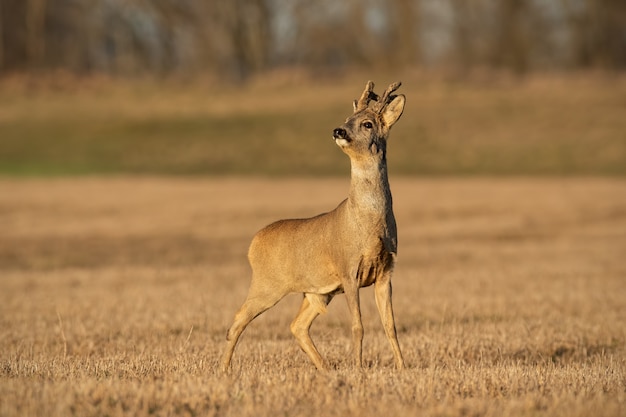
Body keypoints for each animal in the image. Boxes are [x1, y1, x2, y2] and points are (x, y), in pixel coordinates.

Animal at [219, 81, 404, 370]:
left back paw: (325, 369)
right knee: (238, 319)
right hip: (267, 284)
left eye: (367, 124)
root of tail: (253, 243)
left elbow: (390, 326)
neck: (368, 224)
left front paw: (403, 367)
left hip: (316, 293)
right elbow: (358, 326)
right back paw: (223, 369)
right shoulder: (348, 269)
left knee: (297, 326)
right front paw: (359, 368)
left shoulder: (386, 271)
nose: (338, 130)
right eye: (347, 118)